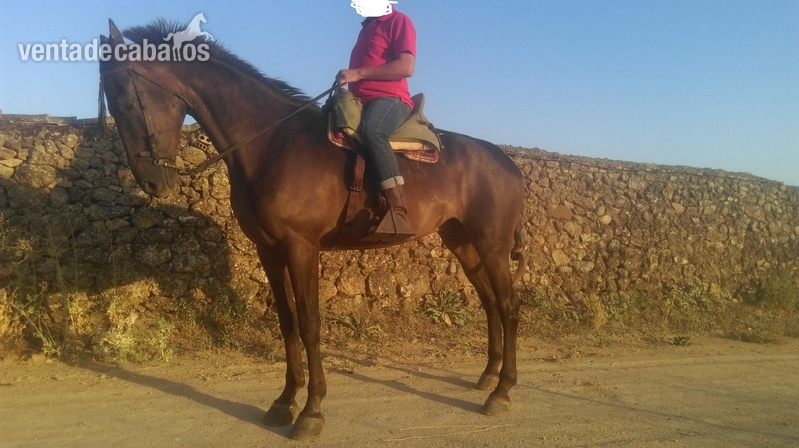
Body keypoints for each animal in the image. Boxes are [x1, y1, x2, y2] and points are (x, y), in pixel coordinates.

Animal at [99, 19, 526, 441]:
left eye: (126, 100)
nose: (152, 182)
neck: (271, 144)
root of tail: (506, 162)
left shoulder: (301, 246)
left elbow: (309, 324)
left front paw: (311, 411)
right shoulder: (269, 250)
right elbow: (287, 322)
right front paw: (284, 402)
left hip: (492, 244)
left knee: (508, 305)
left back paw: (502, 392)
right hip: (462, 242)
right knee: (490, 301)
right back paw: (488, 376)